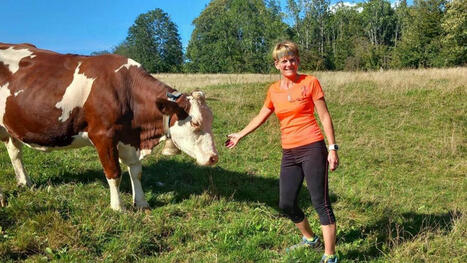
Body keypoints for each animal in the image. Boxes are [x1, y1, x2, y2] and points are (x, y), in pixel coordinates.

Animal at [0, 43, 219, 212]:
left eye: (211, 120)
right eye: (195, 122)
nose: (214, 158)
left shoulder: (130, 139)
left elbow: (136, 171)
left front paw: (141, 203)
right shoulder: (103, 137)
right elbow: (114, 173)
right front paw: (118, 207)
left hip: (8, 126)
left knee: (15, 152)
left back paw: (25, 182)